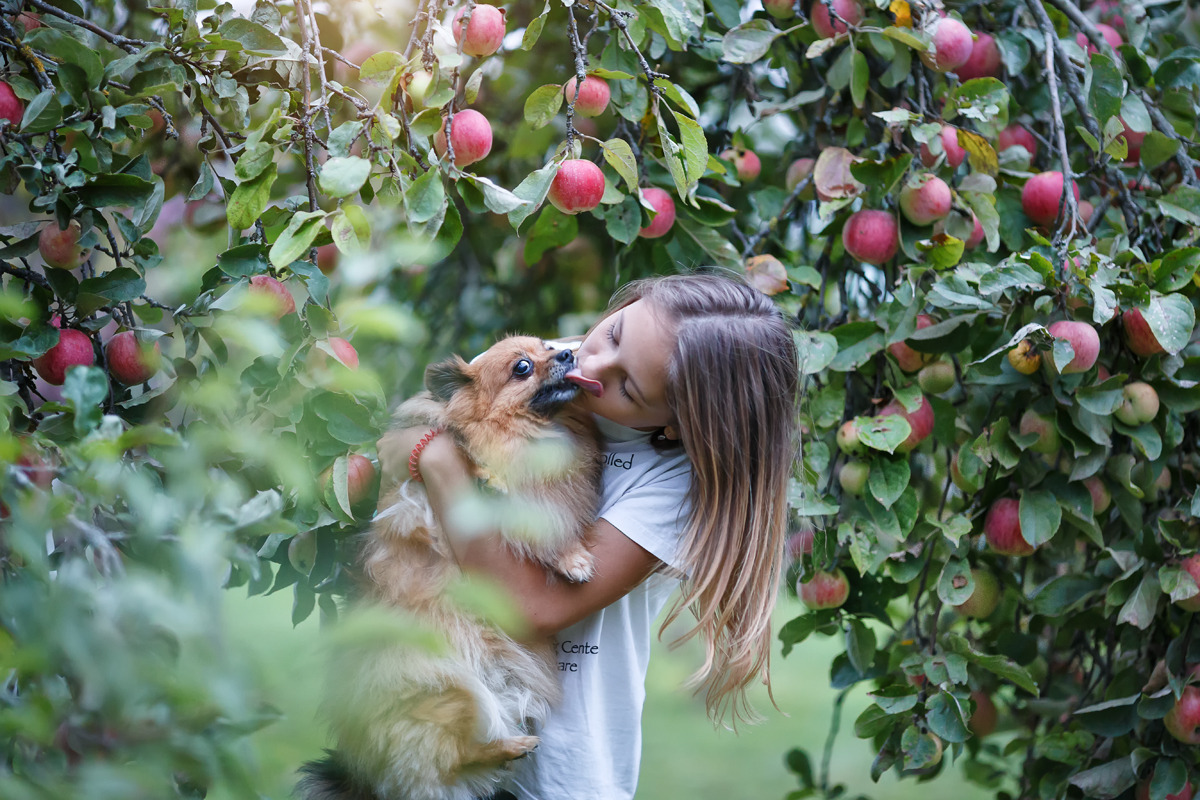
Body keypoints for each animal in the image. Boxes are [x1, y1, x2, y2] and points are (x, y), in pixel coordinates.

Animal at [296, 335, 604, 800]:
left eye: (548, 346)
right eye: (522, 367)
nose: (568, 353)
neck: (532, 436)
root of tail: (364, 774)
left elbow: (551, 527)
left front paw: (572, 555)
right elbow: (493, 482)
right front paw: (487, 478)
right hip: (449, 688)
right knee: (452, 754)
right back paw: (510, 746)